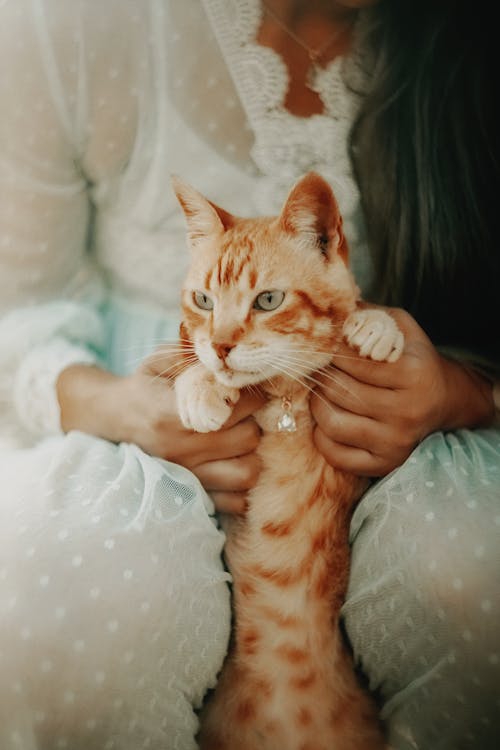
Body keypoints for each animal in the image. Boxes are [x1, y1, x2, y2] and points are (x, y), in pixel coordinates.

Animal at [174, 172, 404, 750]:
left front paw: (376, 325)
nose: (223, 346)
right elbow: (192, 361)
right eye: (204, 300)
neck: (284, 396)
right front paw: (199, 386)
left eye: (268, 300)